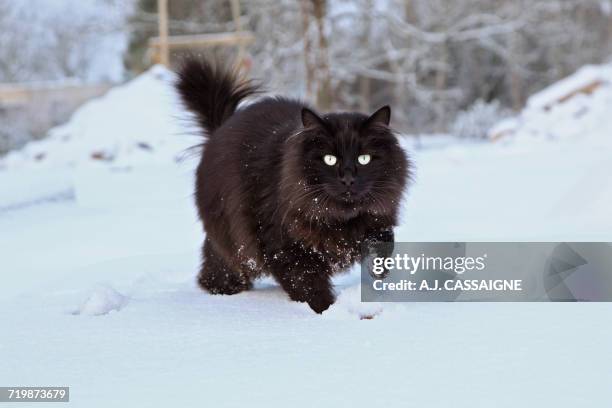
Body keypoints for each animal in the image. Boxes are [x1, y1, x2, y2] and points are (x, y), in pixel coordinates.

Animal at [175, 58, 408, 312]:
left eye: (363, 159)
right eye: (329, 159)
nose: (347, 179)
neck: (339, 219)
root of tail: (221, 127)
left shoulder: (378, 217)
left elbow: (382, 242)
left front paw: (378, 272)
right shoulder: (285, 247)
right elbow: (308, 286)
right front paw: (327, 311)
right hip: (233, 238)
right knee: (222, 262)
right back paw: (224, 291)